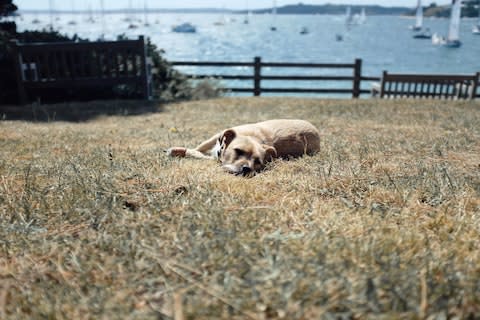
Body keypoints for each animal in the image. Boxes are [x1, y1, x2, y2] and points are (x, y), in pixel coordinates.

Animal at [167, 119, 320, 176]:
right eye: (238, 151)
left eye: (258, 162)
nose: (246, 169)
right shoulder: (214, 139)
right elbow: (198, 148)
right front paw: (177, 150)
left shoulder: (216, 159)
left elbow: (197, 154)